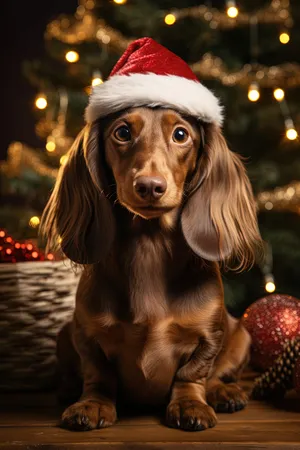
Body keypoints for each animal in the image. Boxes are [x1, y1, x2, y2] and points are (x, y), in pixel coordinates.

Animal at [41, 106, 262, 432]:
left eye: (181, 134)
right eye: (122, 132)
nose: (149, 186)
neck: (149, 245)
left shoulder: (209, 336)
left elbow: (193, 372)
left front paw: (190, 404)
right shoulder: (86, 334)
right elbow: (97, 373)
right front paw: (92, 404)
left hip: (242, 335)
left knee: (218, 375)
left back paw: (224, 393)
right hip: (63, 334)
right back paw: (68, 389)